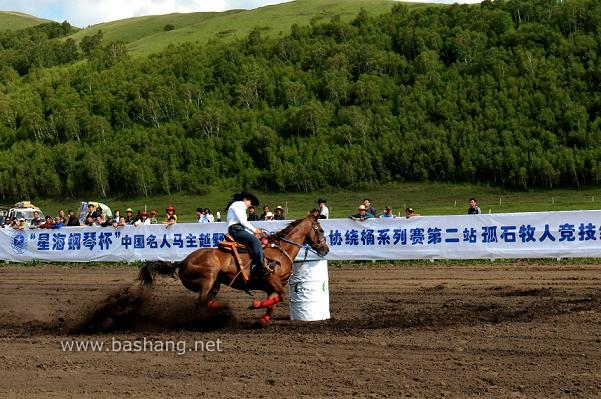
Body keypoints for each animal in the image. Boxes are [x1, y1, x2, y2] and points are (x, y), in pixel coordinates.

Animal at [137, 217, 328, 326]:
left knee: (205, 301)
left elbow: (273, 303)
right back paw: (222, 312)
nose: (325, 249)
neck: (281, 250)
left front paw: (263, 319)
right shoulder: (271, 279)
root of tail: (182, 261)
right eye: (320, 229)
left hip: (215, 284)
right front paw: (254, 305)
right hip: (209, 277)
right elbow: (279, 297)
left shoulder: (272, 286)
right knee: (200, 300)